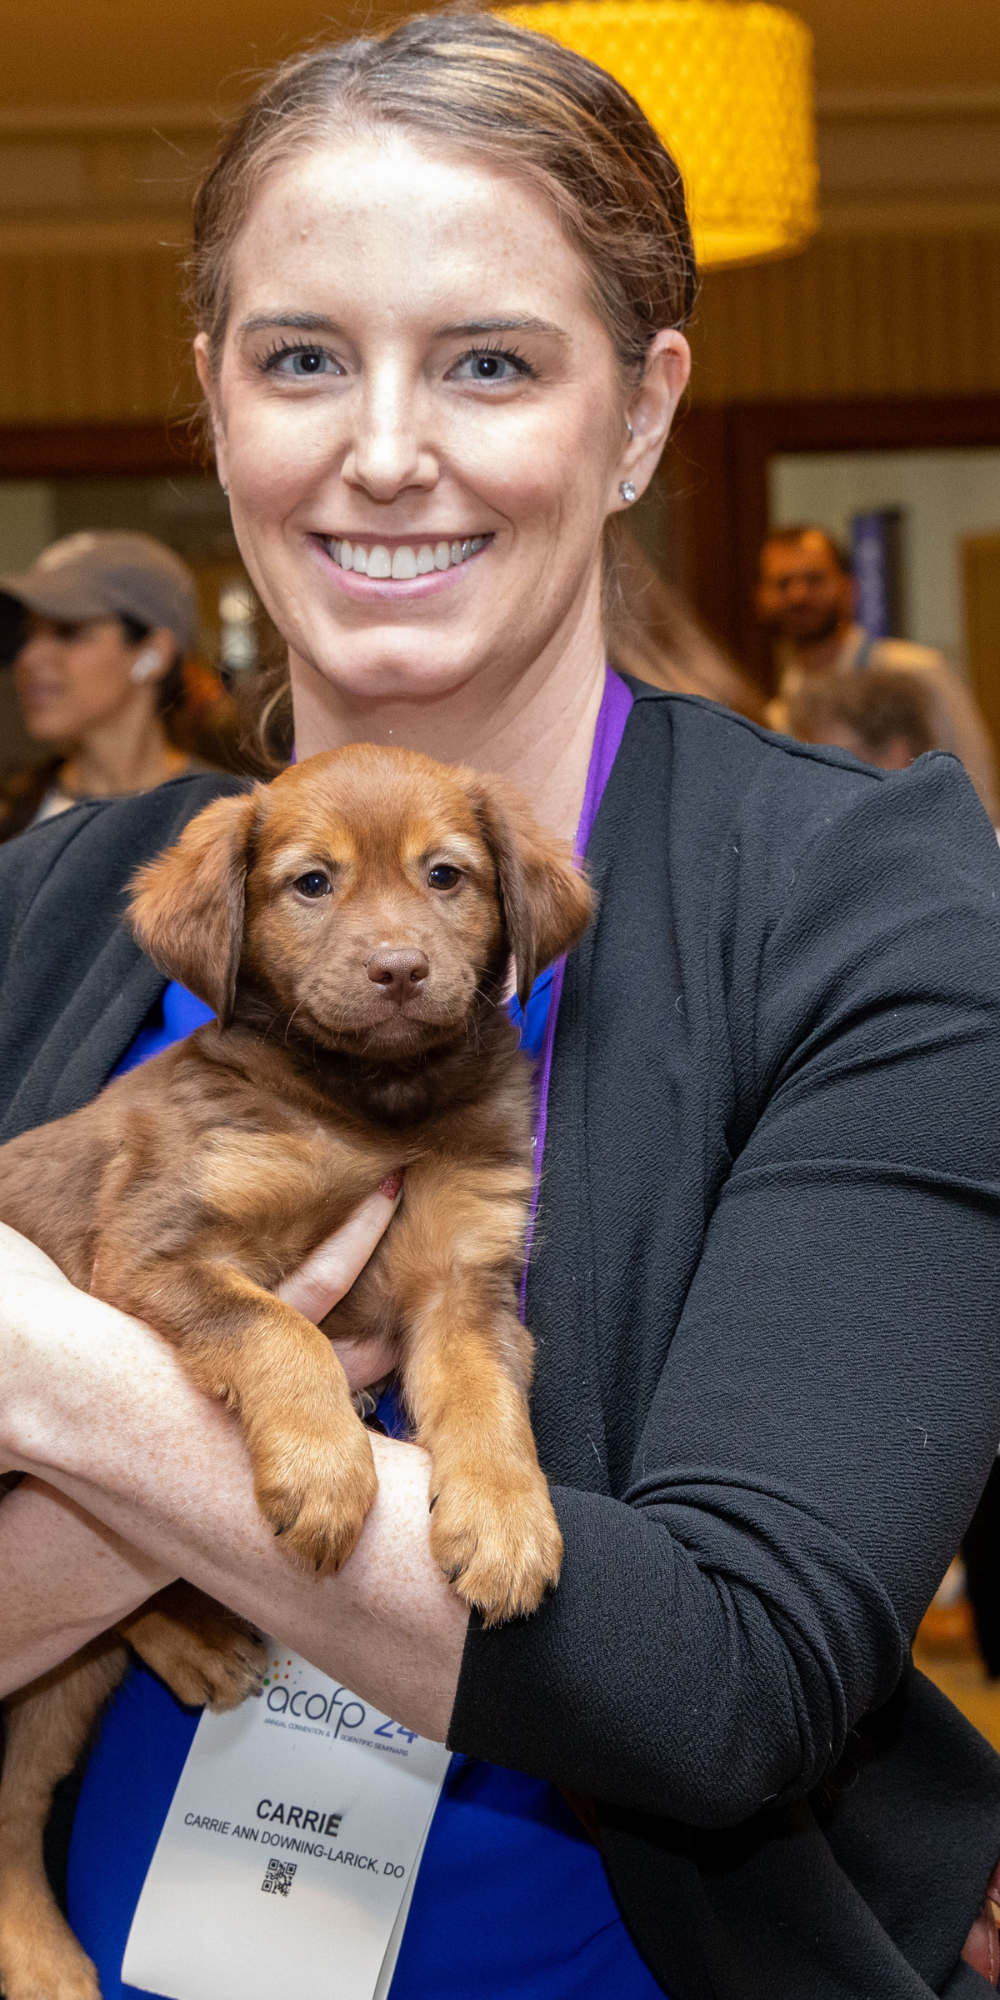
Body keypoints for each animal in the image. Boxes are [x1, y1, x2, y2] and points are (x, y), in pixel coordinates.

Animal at [0, 752, 592, 2000]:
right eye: (311, 881)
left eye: (445, 873)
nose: (400, 968)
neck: (369, 1106)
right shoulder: (163, 1247)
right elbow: (284, 1330)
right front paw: (326, 1473)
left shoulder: (464, 1281)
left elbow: (487, 1406)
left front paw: (506, 1523)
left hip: (65, 1672)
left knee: (17, 1793)